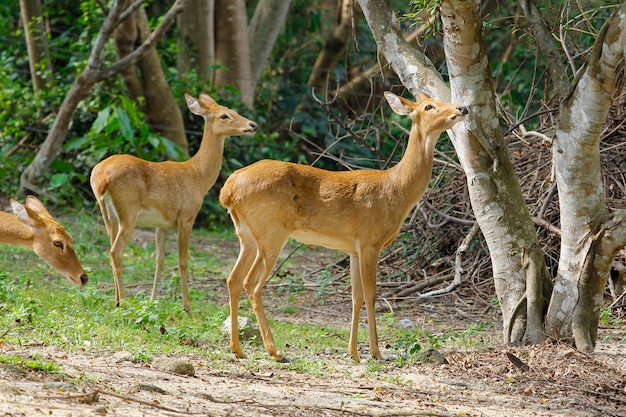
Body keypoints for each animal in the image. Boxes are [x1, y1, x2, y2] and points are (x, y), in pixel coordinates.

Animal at [90, 92, 258, 312]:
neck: (199, 176)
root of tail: (100, 177)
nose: (253, 125)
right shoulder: (186, 216)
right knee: (115, 252)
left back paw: (117, 300)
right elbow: (183, 260)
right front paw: (187, 306)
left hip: (108, 215)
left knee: (110, 250)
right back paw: (123, 302)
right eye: (224, 115)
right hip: (128, 212)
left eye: (234, 111)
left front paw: (152, 300)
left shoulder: (161, 224)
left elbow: (159, 259)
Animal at [219, 91, 468, 360]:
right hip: (271, 232)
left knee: (233, 279)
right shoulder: (370, 242)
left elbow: (356, 296)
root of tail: (228, 190)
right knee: (251, 284)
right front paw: (376, 352)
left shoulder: (353, 248)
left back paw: (237, 348)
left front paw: (354, 352)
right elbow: (371, 294)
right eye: (429, 106)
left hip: (246, 235)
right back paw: (273, 350)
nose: (462, 108)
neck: (395, 189)